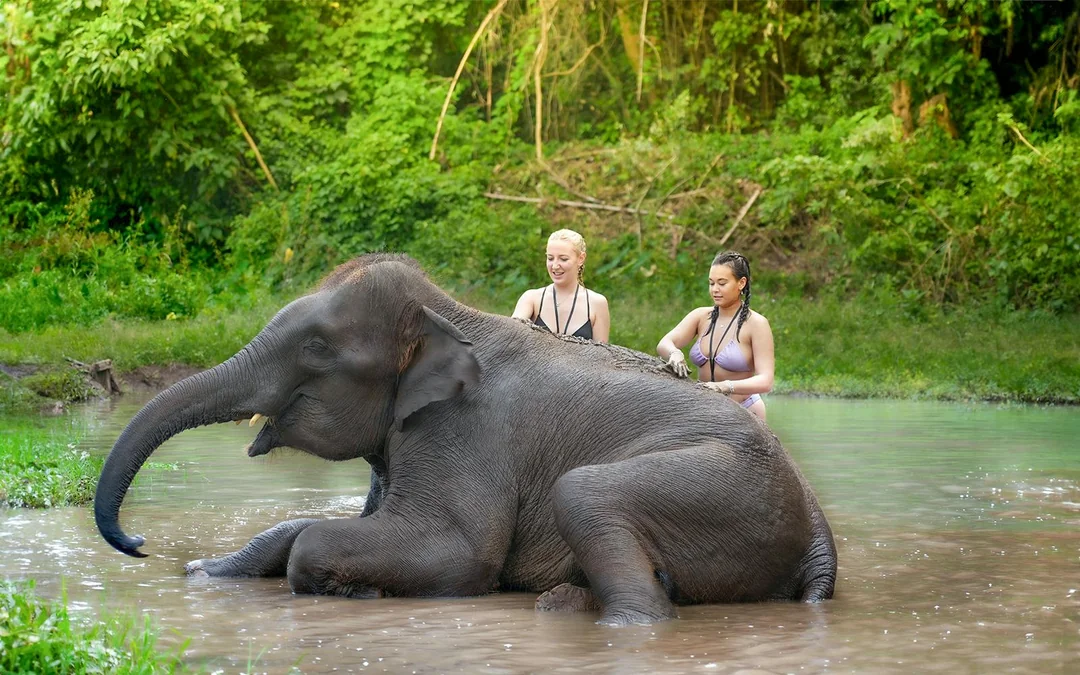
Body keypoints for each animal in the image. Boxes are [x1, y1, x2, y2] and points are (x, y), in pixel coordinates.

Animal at [95, 253, 837, 626]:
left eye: (316, 348)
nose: (139, 543)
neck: (448, 312)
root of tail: (818, 537)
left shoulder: (466, 432)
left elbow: (457, 555)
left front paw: (357, 592)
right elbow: (306, 526)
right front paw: (207, 571)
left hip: (729, 488)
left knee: (587, 498)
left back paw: (579, 612)